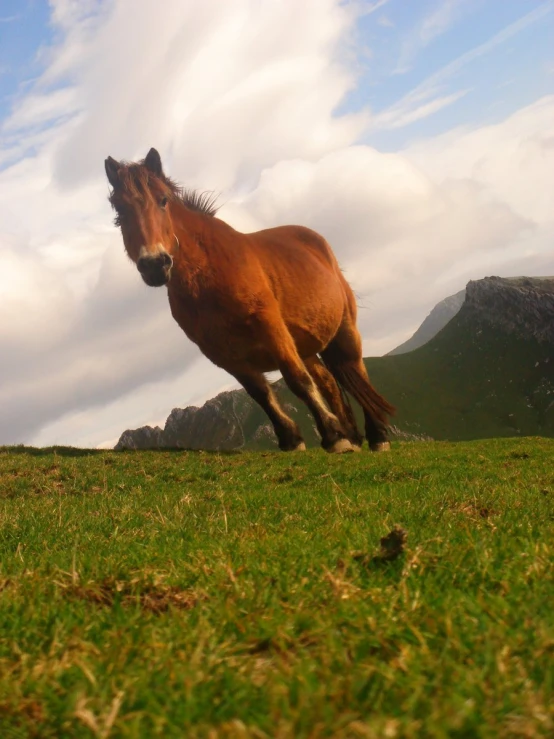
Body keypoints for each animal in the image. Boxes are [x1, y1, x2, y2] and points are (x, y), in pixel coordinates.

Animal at [103, 148, 392, 454]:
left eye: (163, 200)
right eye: (120, 211)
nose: (155, 264)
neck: (210, 274)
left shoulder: (270, 325)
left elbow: (297, 379)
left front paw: (334, 436)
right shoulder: (220, 352)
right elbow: (260, 393)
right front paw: (293, 439)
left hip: (344, 328)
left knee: (356, 371)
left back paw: (376, 436)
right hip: (306, 343)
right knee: (328, 382)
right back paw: (352, 436)